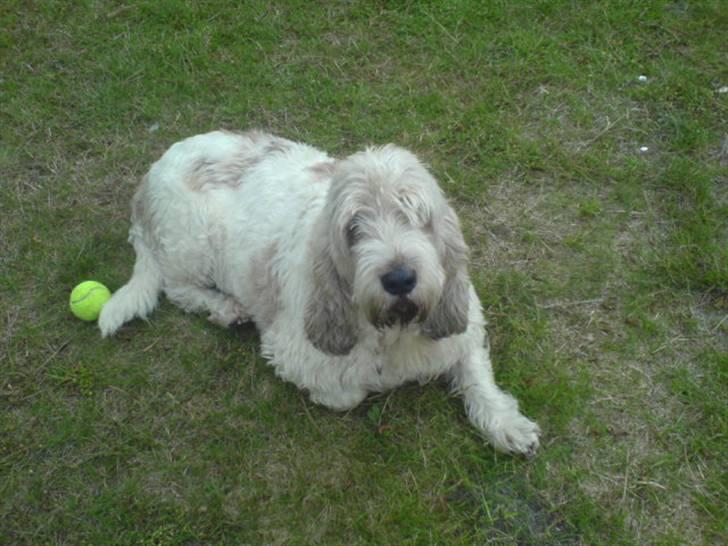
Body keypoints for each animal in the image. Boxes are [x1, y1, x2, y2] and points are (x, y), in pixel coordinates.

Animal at [98, 130, 540, 452]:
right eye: (354, 228)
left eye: (416, 215)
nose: (399, 278)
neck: (393, 329)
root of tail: (148, 180)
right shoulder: (292, 354)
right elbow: (349, 393)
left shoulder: (462, 329)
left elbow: (477, 375)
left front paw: (507, 424)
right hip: (193, 246)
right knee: (177, 288)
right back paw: (225, 308)